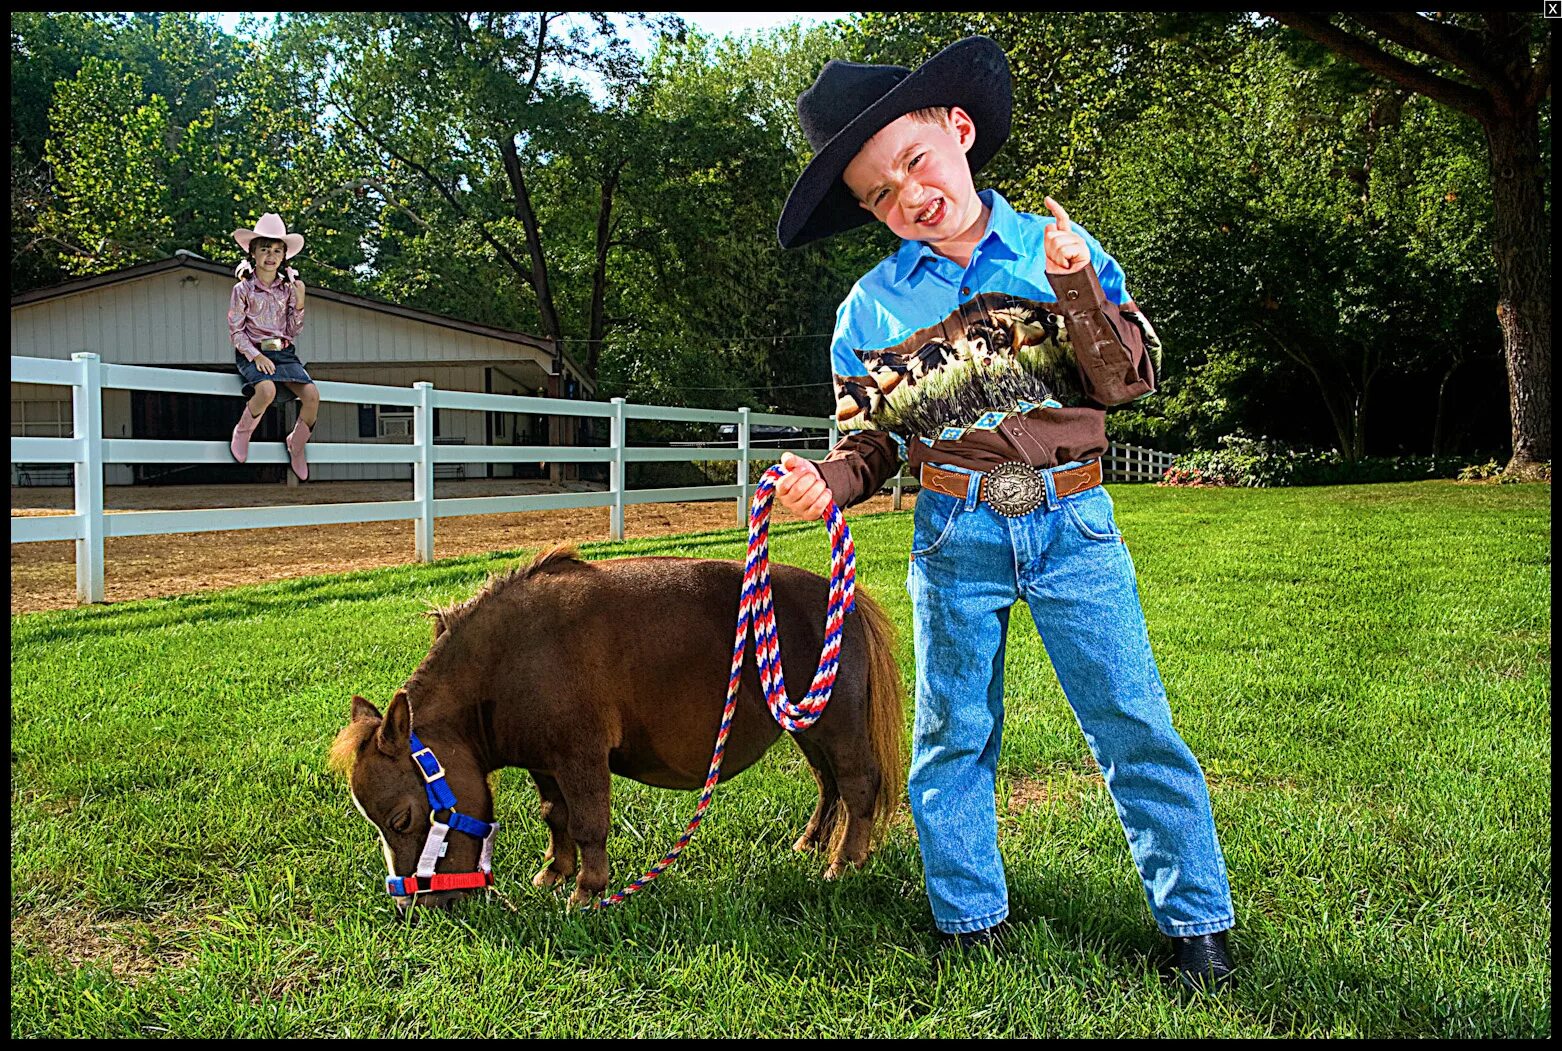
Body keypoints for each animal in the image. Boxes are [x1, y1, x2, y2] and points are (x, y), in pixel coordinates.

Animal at [335, 540, 912, 912]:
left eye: (402, 819)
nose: (419, 907)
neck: (512, 655)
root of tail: (846, 598)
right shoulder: (545, 764)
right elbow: (556, 817)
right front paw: (555, 872)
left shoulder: (581, 757)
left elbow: (589, 824)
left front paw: (588, 891)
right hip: (804, 727)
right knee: (829, 785)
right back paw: (811, 843)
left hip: (836, 726)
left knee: (858, 785)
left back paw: (844, 863)